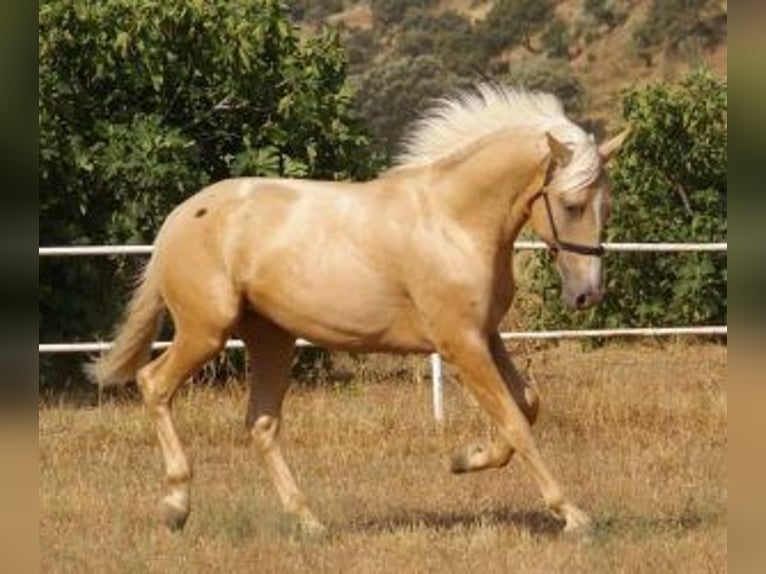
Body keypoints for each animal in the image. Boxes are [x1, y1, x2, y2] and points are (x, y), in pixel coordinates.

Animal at [88, 85, 628, 536]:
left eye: (607, 206)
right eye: (571, 204)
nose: (587, 295)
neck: (453, 220)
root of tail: (178, 219)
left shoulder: (486, 336)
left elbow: (528, 404)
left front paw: (465, 458)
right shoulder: (461, 342)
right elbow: (517, 421)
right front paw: (573, 515)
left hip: (271, 337)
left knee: (261, 423)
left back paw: (309, 523)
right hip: (207, 330)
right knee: (154, 383)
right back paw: (176, 506)